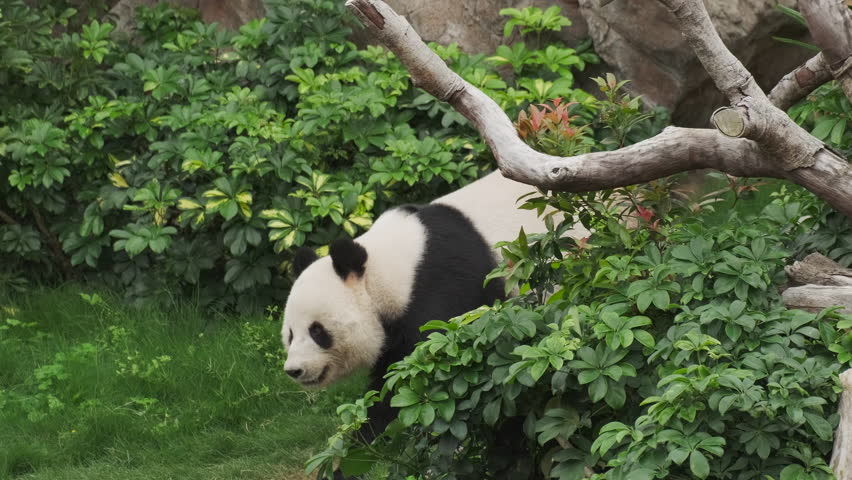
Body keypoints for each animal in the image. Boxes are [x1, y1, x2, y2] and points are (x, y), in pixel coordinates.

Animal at [281, 171, 588, 443]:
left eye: (318, 331)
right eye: (290, 335)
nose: (294, 370)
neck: (388, 269)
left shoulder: (443, 290)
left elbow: (412, 381)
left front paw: (363, 440)